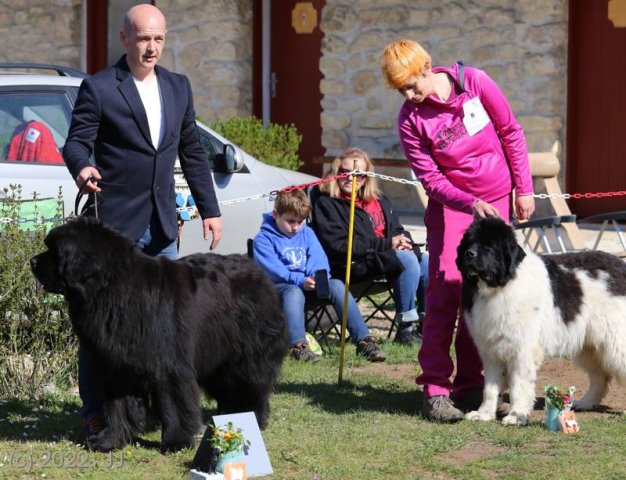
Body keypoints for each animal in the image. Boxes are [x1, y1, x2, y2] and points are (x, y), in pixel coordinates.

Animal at [30, 218, 288, 454]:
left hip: (248, 354)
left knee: (253, 385)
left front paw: (176, 442)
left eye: (55, 252)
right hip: (218, 358)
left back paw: (254, 417)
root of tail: (254, 267)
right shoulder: (118, 366)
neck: (111, 288)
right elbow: (117, 407)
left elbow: (172, 404)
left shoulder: (168, 365)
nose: (32, 261)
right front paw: (110, 440)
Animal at [454, 217, 624, 424]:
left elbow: (519, 384)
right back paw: (585, 402)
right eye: (469, 243)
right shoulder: (490, 349)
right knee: (600, 376)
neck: (502, 285)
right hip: (590, 344)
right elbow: (490, 387)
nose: (469, 254)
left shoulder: (523, 349)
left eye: (489, 246)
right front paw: (484, 414)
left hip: (614, 340)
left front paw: (516, 416)